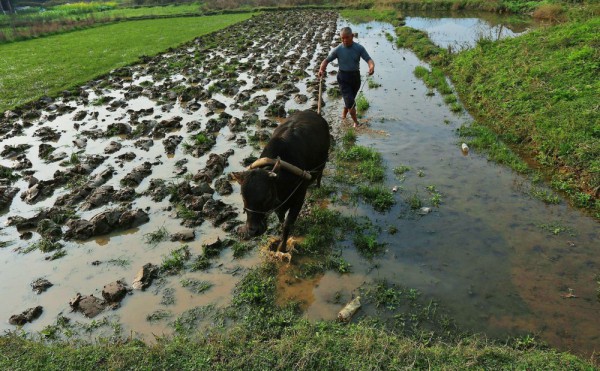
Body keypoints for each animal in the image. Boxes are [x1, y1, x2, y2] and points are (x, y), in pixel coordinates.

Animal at [232, 109, 330, 251]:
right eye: (243, 197)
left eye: (267, 196)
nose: (253, 231)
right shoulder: (279, 205)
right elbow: (281, 219)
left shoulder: (298, 200)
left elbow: (287, 224)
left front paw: (282, 248)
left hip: (322, 163)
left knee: (319, 175)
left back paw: (317, 187)